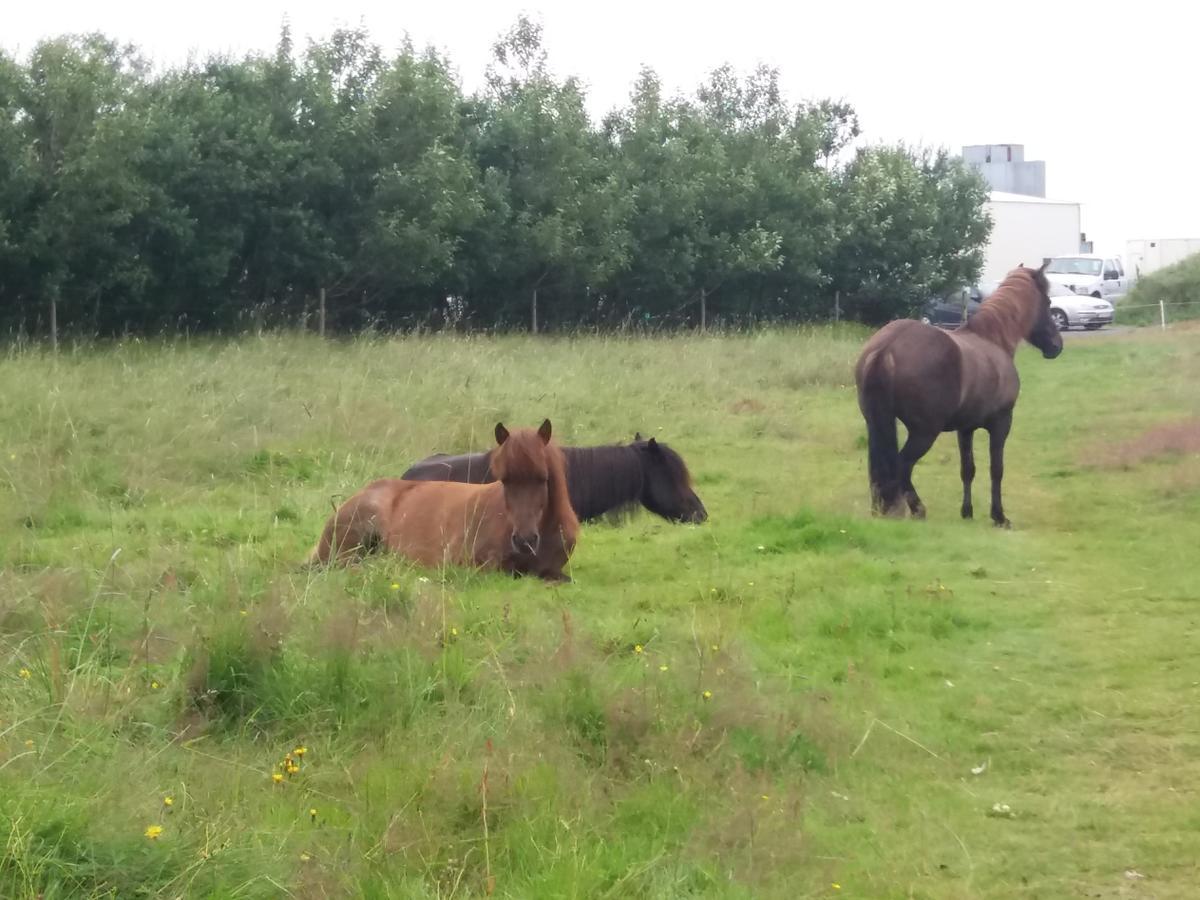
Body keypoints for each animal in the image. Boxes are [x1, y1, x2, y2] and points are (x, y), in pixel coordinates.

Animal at [854, 262, 1060, 528]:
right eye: (1047, 301)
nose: (1056, 346)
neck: (992, 339)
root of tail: (885, 347)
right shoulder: (1001, 422)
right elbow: (996, 469)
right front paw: (999, 516)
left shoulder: (966, 429)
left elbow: (967, 469)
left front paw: (967, 512)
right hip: (924, 432)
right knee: (902, 465)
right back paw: (917, 509)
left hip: (875, 423)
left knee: (880, 468)